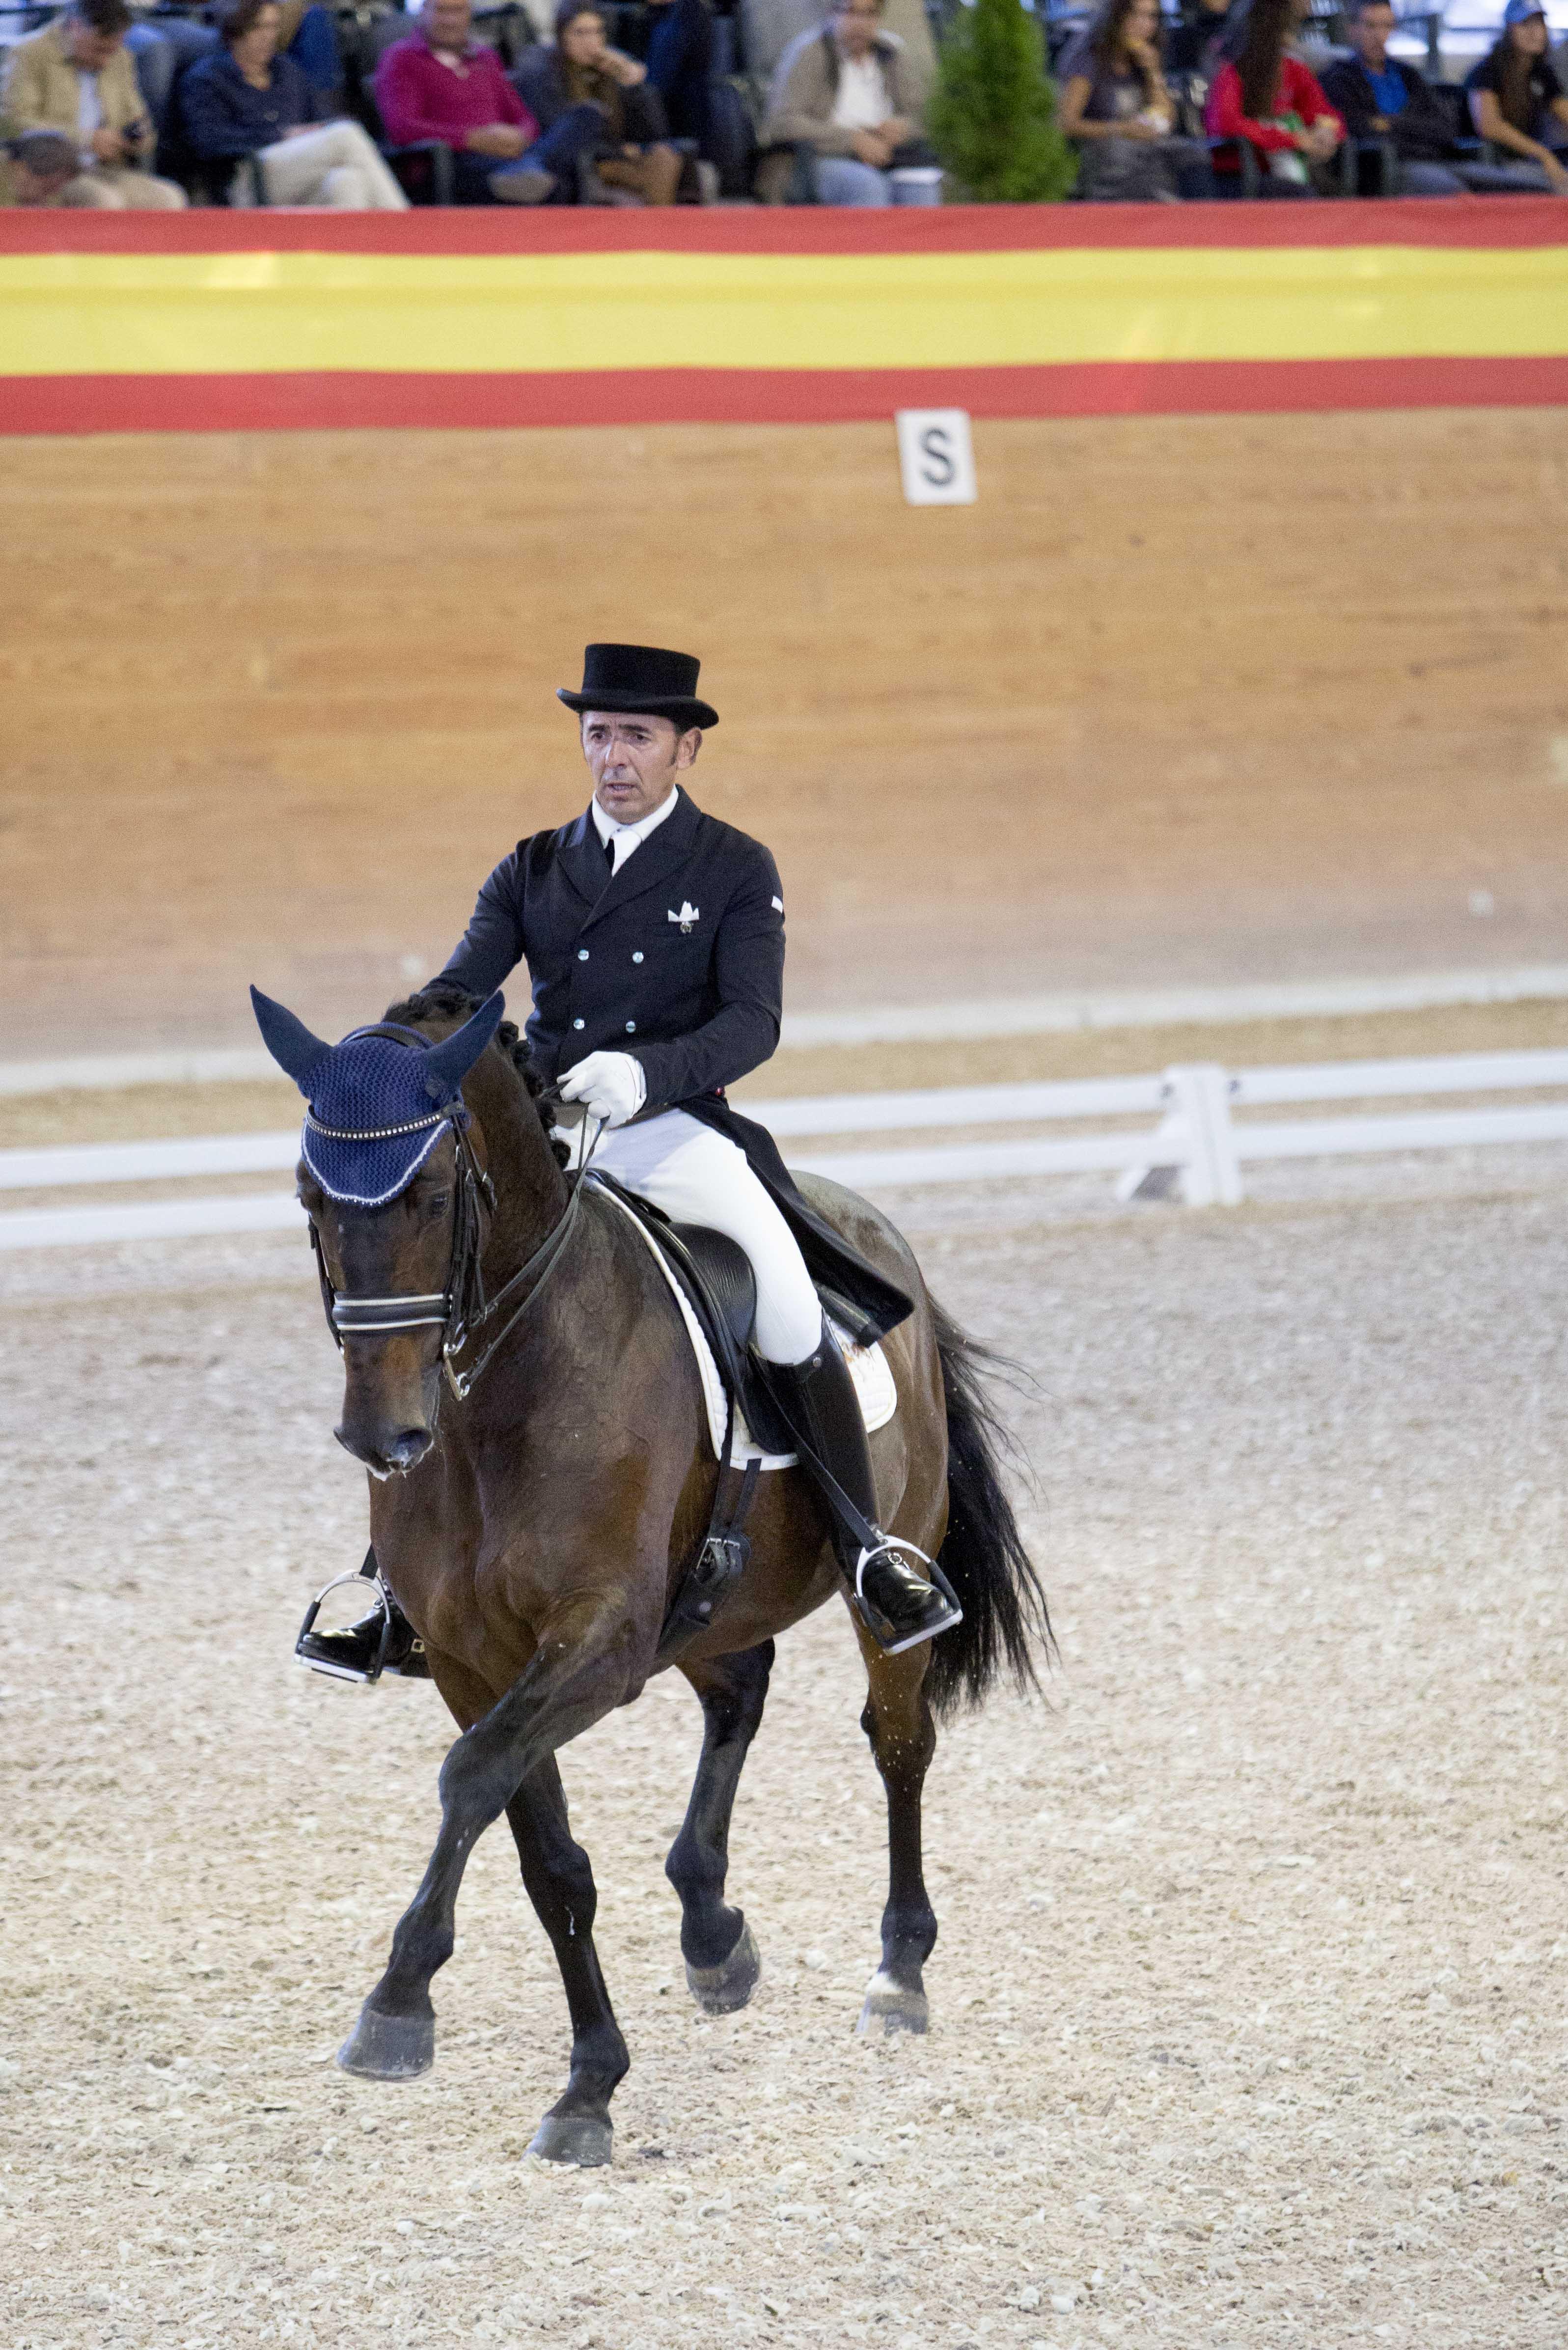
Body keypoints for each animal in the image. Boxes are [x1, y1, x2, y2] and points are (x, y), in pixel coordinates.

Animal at [276, 978, 1048, 2162]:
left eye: (438, 1193)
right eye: (310, 1194)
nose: (384, 1435)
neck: (506, 1388)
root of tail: (872, 1230)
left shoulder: (600, 1640)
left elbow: (471, 1781)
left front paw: (399, 2002)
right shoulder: (471, 1659)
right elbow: (542, 1852)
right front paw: (588, 2082)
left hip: (875, 1575)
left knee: (898, 1741)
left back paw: (897, 1973)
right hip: (709, 1601)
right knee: (740, 1690)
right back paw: (711, 1929)